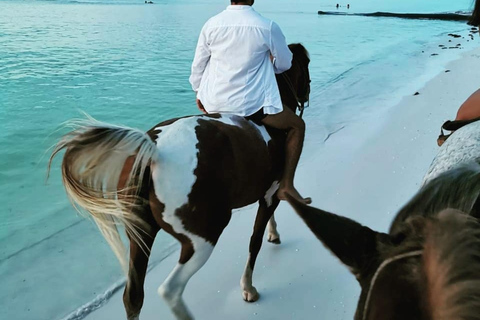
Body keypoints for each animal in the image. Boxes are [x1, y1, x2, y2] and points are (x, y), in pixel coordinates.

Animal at [49, 43, 312, 320]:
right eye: (306, 65)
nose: (306, 94)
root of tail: (154, 150)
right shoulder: (271, 195)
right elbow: (255, 241)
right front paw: (248, 287)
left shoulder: (266, 193)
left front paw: (273, 232)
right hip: (202, 237)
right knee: (170, 290)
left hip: (140, 234)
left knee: (133, 296)